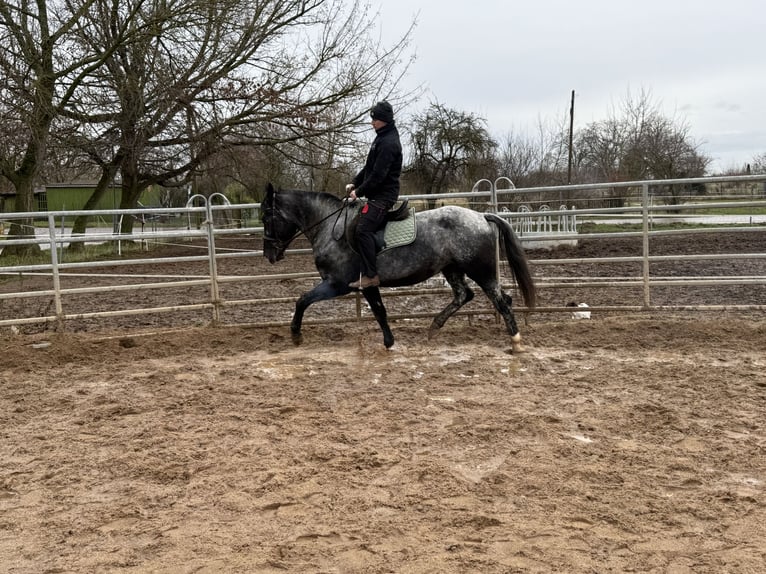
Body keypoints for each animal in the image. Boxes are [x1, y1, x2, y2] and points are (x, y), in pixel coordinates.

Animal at [264, 184, 540, 352]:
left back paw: (515, 342)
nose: (269, 255)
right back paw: (434, 327)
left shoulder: (336, 284)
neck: (332, 228)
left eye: (267, 217)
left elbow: (302, 300)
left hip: (481, 271)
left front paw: (296, 335)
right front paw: (389, 342)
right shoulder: (366, 286)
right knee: (464, 295)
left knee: (502, 300)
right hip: (452, 268)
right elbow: (380, 311)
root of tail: (482, 217)